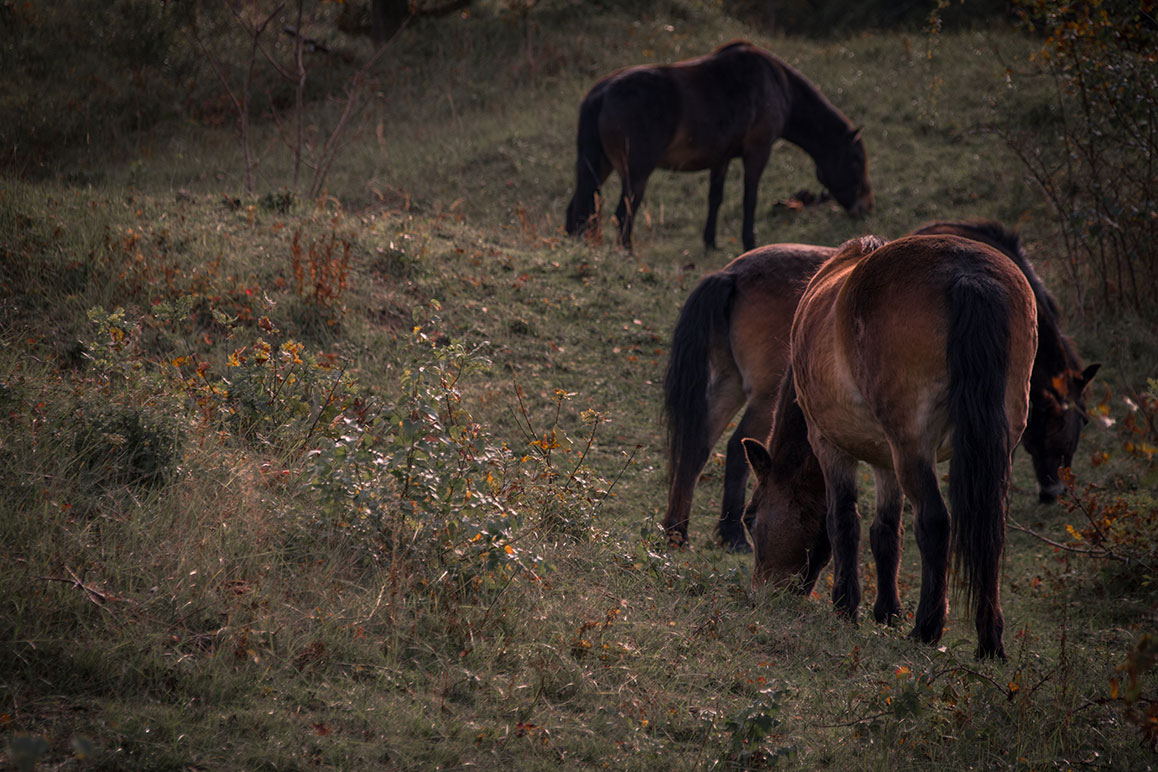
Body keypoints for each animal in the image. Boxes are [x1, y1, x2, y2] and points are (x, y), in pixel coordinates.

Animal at [565, 40, 870, 252]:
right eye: (856, 162)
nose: (866, 207)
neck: (775, 83)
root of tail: (601, 93)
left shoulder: (720, 158)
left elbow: (716, 197)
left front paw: (710, 241)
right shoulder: (758, 150)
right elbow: (750, 197)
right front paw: (749, 242)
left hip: (599, 167)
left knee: (579, 208)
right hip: (636, 174)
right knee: (622, 214)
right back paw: (627, 252)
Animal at [662, 219, 1093, 553]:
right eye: (1076, 421)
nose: (1055, 491)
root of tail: (731, 274)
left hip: (731, 384)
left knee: (697, 447)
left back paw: (677, 532)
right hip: (765, 395)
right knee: (737, 447)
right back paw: (731, 533)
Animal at [741, 236, 1042, 657]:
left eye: (749, 518)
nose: (763, 593)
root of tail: (967, 274)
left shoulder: (829, 444)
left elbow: (843, 522)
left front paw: (846, 606)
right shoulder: (884, 457)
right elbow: (884, 531)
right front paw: (886, 611)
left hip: (911, 446)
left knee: (934, 521)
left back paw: (927, 629)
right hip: (996, 445)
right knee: (990, 532)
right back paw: (989, 641)